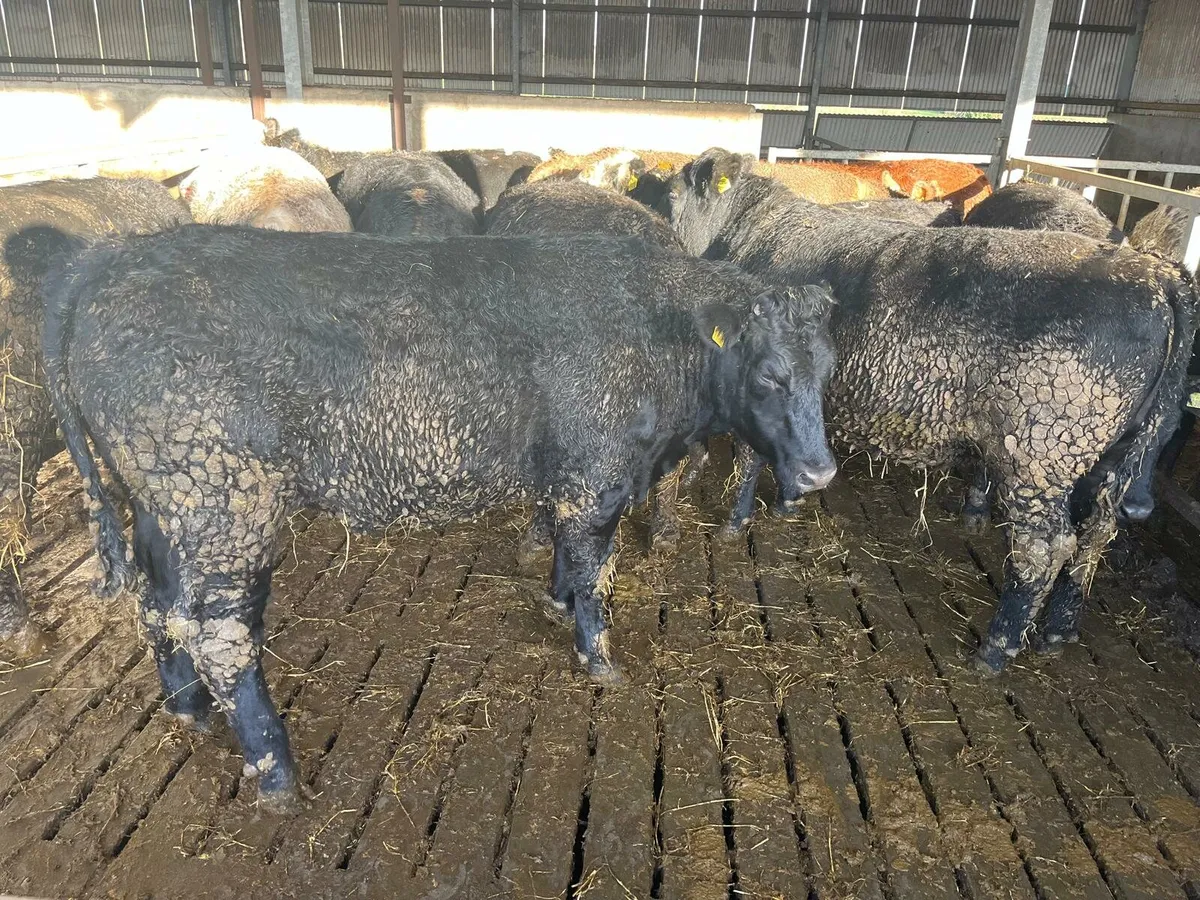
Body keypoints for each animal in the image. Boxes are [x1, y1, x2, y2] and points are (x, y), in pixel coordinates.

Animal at [44, 226, 836, 808]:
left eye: (827, 370)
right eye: (771, 376)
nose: (822, 471)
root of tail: (106, 259)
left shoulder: (570, 476)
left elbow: (566, 553)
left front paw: (554, 603)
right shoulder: (598, 474)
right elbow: (596, 567)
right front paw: (600, 659)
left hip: (163, 509)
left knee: (159, 607)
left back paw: (187, 708)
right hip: (226, 506)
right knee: (221, 639)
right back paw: (276, 773)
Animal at [660, 148, 1197, 675]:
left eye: (672, 193)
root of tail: (1158, 275)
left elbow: (750, 455)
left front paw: (736, 523)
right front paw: (787, 501)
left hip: (1043, 447)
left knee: (1045, 549)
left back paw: (996, 648)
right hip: (1108, 449)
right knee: (1095, 534)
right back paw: (1059, 628)